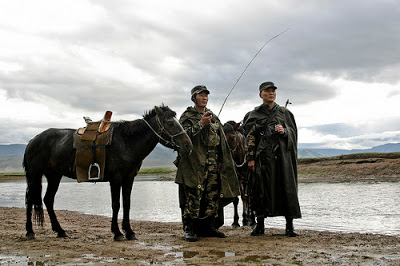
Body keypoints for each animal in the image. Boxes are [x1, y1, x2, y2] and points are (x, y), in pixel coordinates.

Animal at [24, 105, 193, 241]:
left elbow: (127, 204)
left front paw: (129, 232)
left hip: (54, 176)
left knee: (48, 200)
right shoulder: (116, 179)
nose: (188, 146)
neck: (126, 142)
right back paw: (30, 232)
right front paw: (117, 233)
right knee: (30, 200)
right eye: (170, 123)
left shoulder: (129, 179)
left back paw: (60, 231)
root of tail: (33, 140)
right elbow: (116, 205)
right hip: (34, 175)